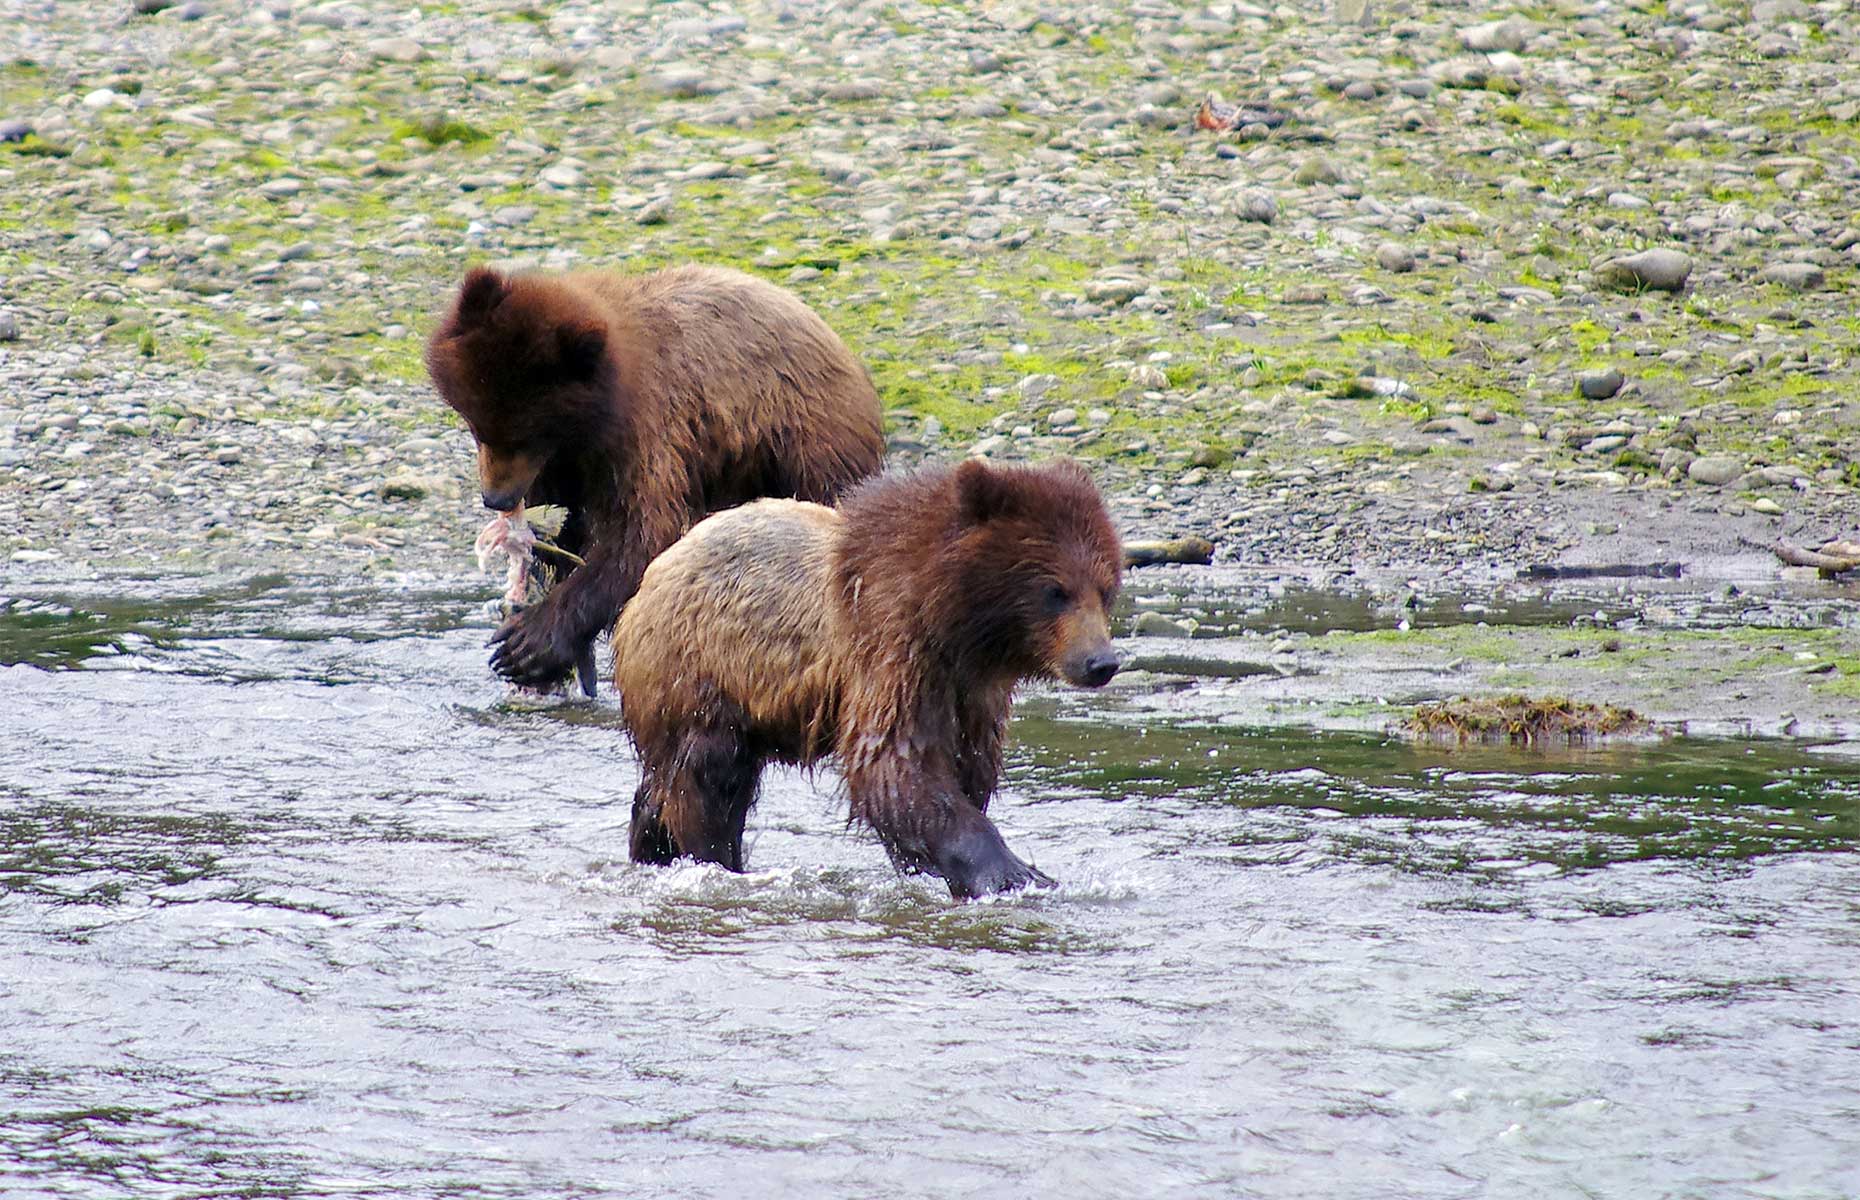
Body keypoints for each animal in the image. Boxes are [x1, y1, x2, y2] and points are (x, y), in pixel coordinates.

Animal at [424, 262, 885, 692]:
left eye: (528, 435)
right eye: (478, 424)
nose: (496, 498)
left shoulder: (646, 432)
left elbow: (640, 534)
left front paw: (529, 643)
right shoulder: (573, 465)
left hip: (800, 441)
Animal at [617, 459, 1123, 900]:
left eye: (1105, 588)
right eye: (1055, 591)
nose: (1100, 662)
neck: (951, 621)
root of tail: (650, 577)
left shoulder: (972, 694)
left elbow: (966, 768)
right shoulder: (889, 646)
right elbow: (896, 764)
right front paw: (1013, 873)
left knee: (662, 788)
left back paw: (652, 848)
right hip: (700, 674)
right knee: (708, 781)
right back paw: (717, 861)